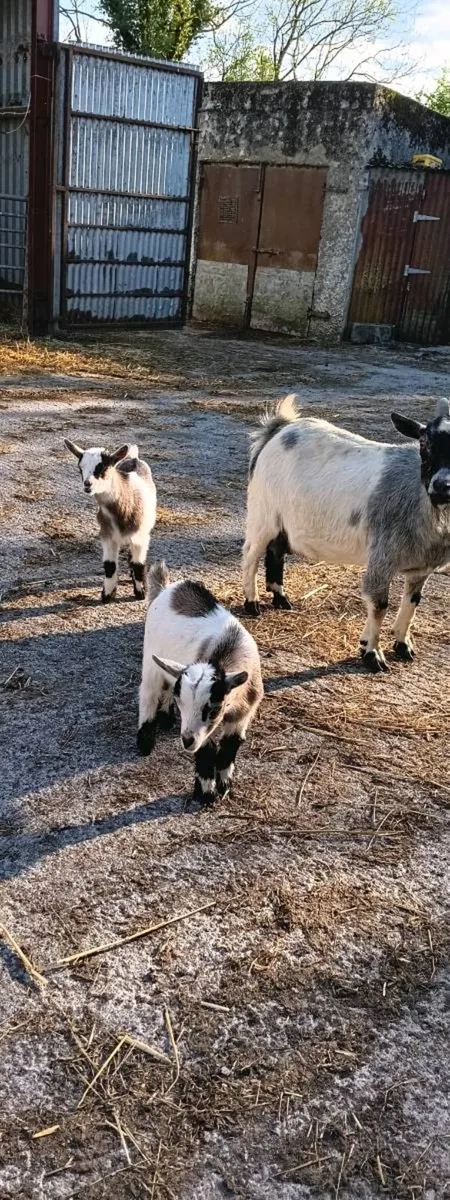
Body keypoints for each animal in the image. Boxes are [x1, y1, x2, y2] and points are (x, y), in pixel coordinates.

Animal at [64, 440, 156, 602]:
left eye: (103, 467)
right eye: (80, 468)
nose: (87, 484)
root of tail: (133, 457)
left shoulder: (141, 536)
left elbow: (139, 564)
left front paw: (141, 593)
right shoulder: (107, 534)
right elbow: (109, 565)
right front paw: (107, 595)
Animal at [138, 562, 264, 805]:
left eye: (213, 708)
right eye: (183, 705)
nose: (186, 741)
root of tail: (167, 588)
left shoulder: (243, 713)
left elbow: (230, 746)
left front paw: (224, 785)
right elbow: (207, 750)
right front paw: (205, 793)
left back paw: (166, 718)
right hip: (150, 661)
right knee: (148, 694)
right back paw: (145, 742)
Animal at [243, 395, 450, 672]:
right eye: (424, 444)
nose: (442, 486)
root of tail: (281, 428)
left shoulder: (421, 566)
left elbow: (412, 603)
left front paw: (403, 645)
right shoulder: (382, 558)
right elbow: (379, 605)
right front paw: (372, 654)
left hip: (282, 521)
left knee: (276, 551)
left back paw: (280, 597)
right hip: (262, 513)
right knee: (251, 554)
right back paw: (252, 603)